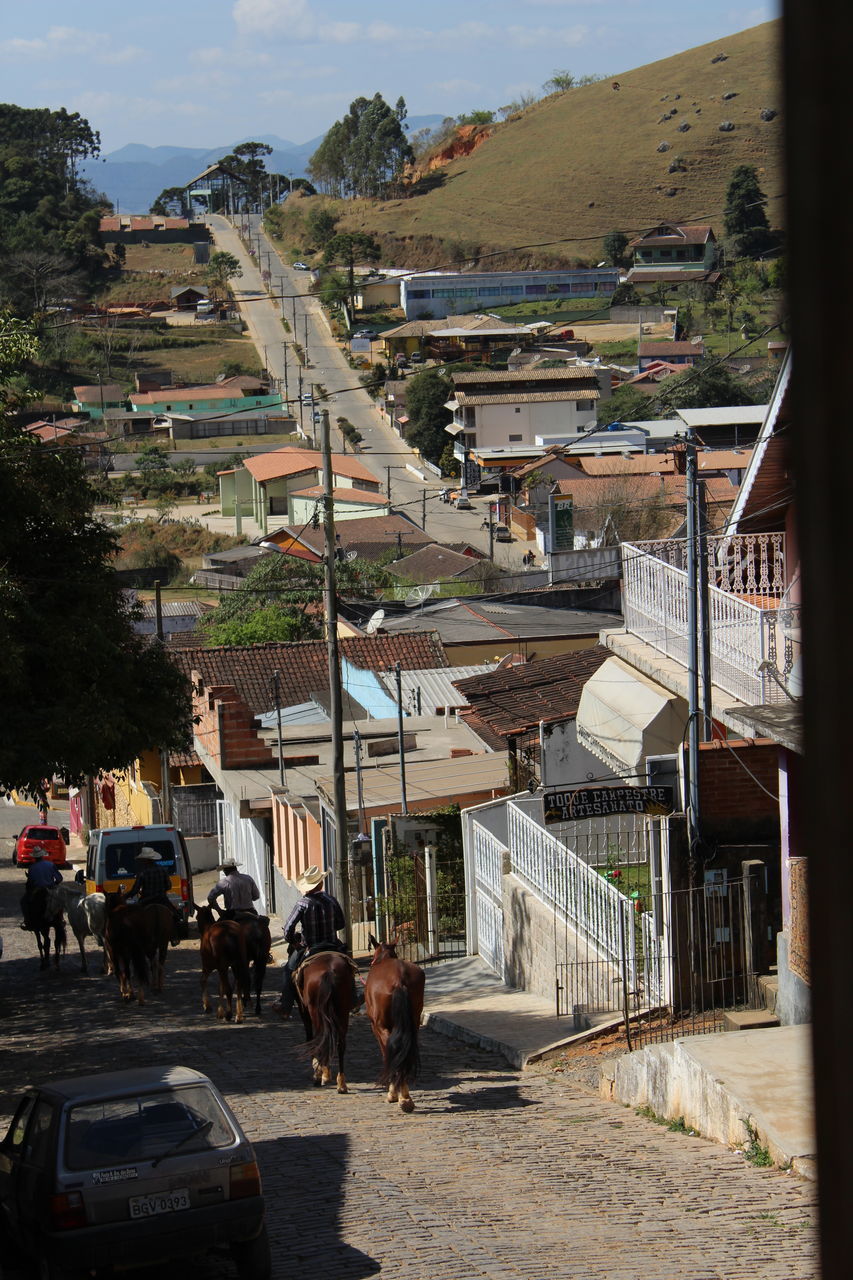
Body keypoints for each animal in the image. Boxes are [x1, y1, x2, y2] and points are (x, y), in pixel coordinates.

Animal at [295, 952, 356, 1090]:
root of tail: (329, 972)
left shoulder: (304, 1012)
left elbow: (310, 1038)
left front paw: (322, 1072)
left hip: (314, 1012)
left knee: (319, 1040)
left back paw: (319, 1077)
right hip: (342, 1011)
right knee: (340, 1043)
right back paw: (341, 1083)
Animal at [363, 931, 422, 1111]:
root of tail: (399, 980)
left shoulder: (376, 1028)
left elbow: (386, 1054)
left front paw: (393, 1094)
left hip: (383, 1028)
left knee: (393, 1052)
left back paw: (400, 1097)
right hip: (413, 1025)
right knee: (406, 1052)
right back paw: (406, 1097)